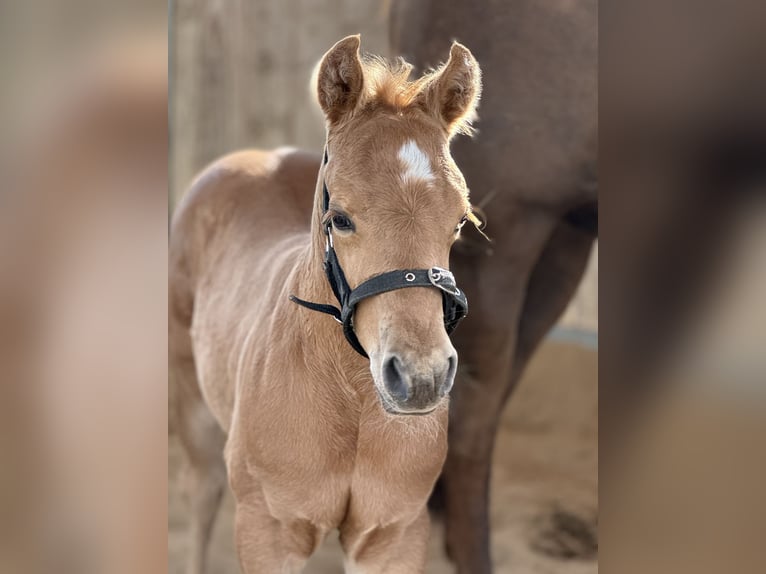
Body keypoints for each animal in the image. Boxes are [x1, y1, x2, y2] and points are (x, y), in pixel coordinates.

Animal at [169, 36, 483, 573]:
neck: (352, 395)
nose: (420, 378)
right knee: (201, 494)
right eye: (339, 218)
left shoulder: (393, 535)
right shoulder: (269, 531)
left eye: (460, 220)